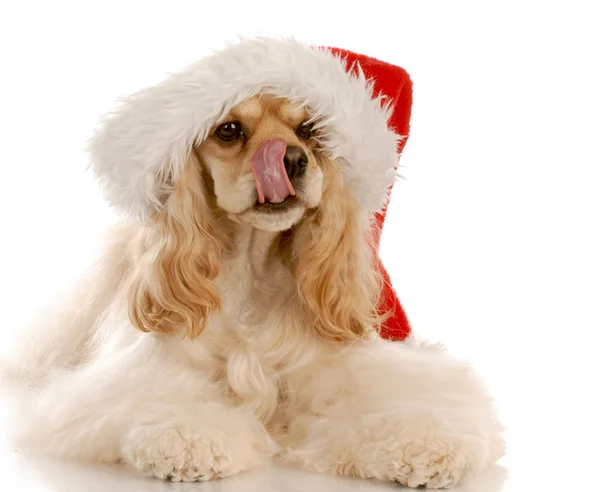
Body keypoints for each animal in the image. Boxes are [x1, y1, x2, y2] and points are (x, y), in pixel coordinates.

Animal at [0, 38, 506, 488]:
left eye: (309, 130)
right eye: (229, 130)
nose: (292, 160)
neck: (253, 268)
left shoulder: (333, 369)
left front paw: (426, 446)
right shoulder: (146, 372)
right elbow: (165, 401)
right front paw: (189, 441)